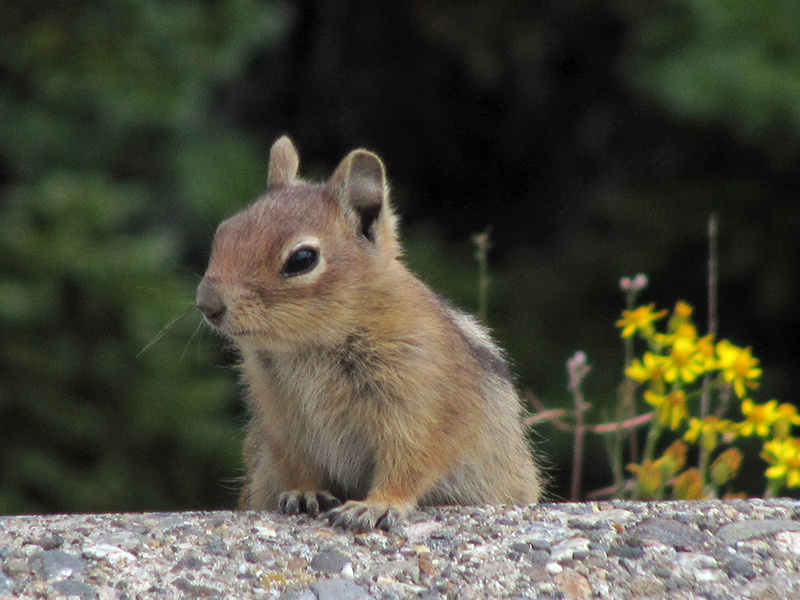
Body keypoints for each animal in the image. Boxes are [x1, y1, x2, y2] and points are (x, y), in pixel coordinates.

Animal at [197, 137, 540, 528]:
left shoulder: (421, 405)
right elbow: (296, 462)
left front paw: (378, 504)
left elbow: (410, 460)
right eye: (225, 232)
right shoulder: (281, 421)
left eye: (302, 259)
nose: (207, 304)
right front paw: (304, 492)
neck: (310, 346)